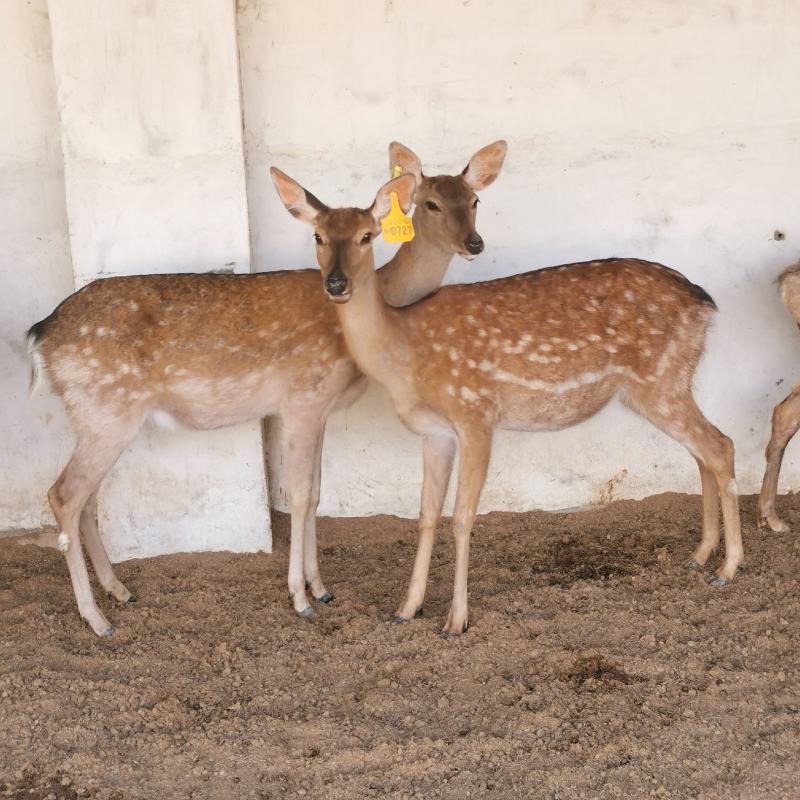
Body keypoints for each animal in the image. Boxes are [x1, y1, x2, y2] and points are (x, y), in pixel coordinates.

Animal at [26, 140, 507, 636]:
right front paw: (300, 598)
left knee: (86, 499)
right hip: (107, 410)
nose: (473, 243)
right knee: (63, 495)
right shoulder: (301, 399)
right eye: (430, 204)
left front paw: (321, 588)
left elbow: (316, 493)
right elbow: (299, 496)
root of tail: (40, 337)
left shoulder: (320, 408)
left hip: (96, 417)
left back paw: (119, 591)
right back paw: (97, 618)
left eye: (474, 201)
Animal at [271, 166, 744, 637]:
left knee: (720, 445)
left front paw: (456, 620)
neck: (403, 352)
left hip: (660, 380)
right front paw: (406, 608)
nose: (337, 284)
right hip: (667, 385)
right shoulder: (434, 431)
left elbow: (462, 517)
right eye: (317, 236)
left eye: (368, 236)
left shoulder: (476, 412)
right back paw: (700, 556)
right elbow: (426, 514)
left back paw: (728, 567)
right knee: (705, 450)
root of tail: (706, 304)